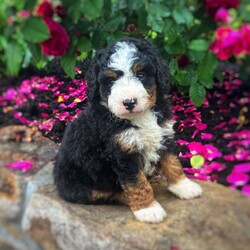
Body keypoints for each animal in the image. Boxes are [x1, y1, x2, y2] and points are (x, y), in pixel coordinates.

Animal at [53, 38, 202, 224]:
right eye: (110, 82)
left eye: (141, 75)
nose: (129, 102)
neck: (140, 116)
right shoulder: (122, 152)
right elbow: (136, 183)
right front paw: (148, 209)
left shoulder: (164, 134)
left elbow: (172, 162)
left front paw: (184, 186)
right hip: (79, 184)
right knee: (105, 195)